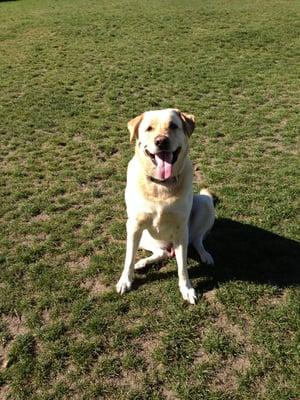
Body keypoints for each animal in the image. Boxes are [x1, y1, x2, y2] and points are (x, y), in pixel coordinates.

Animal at [115, 108, 216, 304]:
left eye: (173, 126)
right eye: (149, 128)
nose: (161, 141)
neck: (161, 185)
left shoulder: (181, 229)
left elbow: (182, 267)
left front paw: (187, 289)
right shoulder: (134, 225)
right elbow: (128, 258)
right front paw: (125, 280)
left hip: (205, 202)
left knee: (197, 239)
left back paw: (205, 255)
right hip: (139, 234)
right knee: (159, 252)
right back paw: (142, 263)